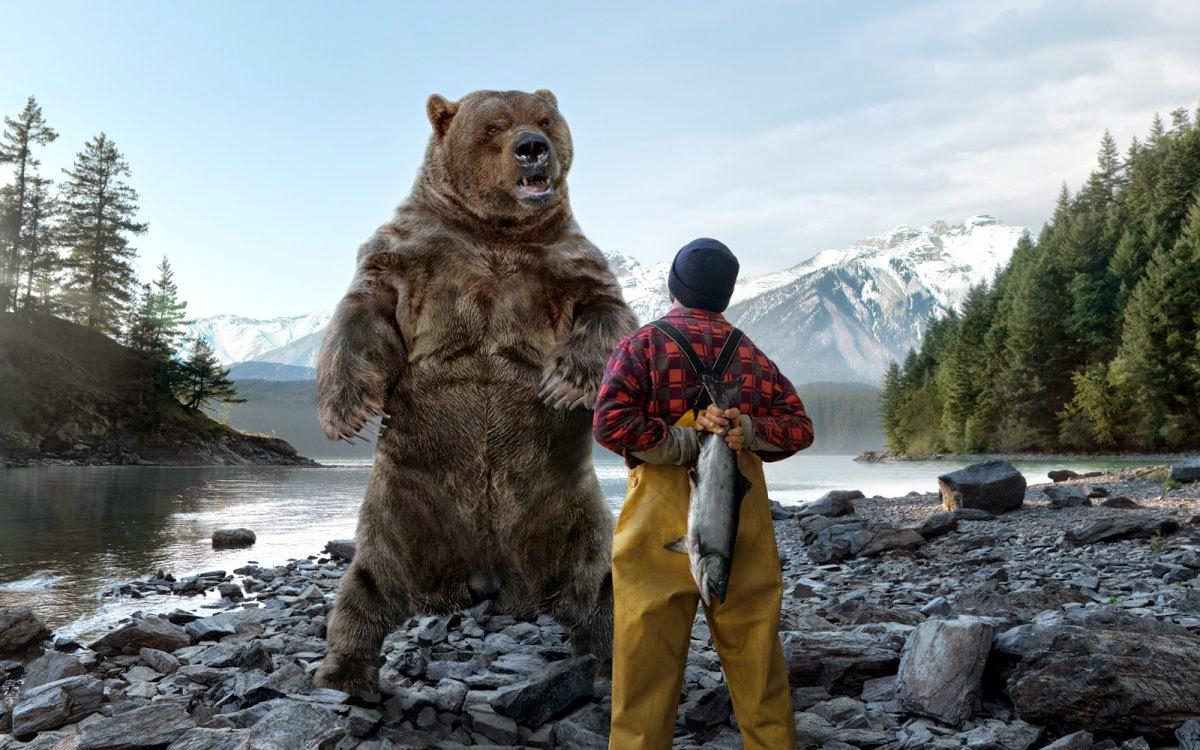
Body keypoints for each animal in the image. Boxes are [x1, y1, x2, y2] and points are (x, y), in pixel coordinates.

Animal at [313, 88, 637, 695]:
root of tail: (490, 581)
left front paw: (562, 382)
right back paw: (343, 671)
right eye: (494, 126)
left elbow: (606, 310)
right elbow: (364, 314)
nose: (532, 148)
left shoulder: (567, 261)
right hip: (400, 517)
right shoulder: (410, 252)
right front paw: (349, 413)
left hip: (576, 521)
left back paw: (613, 663)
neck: (495, 230)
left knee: (603, 592)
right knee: (364, 588)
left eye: (545, 120)